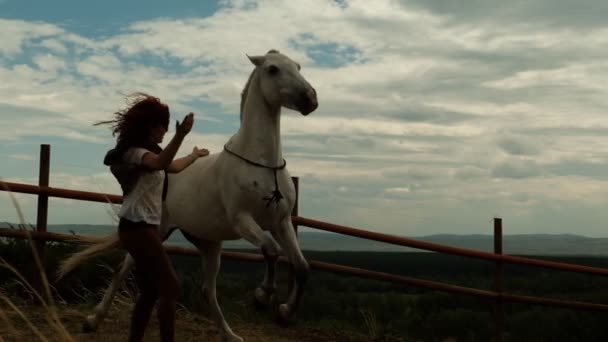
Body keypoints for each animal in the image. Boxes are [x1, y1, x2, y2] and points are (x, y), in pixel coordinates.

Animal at [58, 48, 318, 342]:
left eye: (298, 66)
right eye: (273, 69)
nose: (310, 99)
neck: (263, 165)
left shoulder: (281, 222)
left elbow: (302, 267)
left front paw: (284, 313)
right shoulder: (243, 220)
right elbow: (271, 251)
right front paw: (263, 297)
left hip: (209, 245)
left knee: (208, 291)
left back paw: (230, 335)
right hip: (158, 232)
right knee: (122, 271)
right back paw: (93, 320)